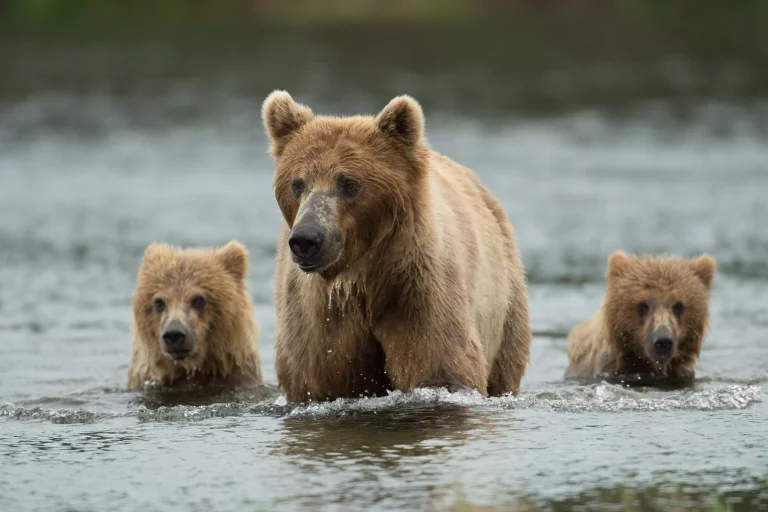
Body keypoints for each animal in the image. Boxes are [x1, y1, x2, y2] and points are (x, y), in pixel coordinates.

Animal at [260, 92, 532, 404]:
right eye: (298, 183)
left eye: (349, 183)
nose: (306, 238)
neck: (362, 277)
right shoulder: (318, 318)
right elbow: (315, 378)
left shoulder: (417, 289)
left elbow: (440, 366)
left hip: (505, 296)